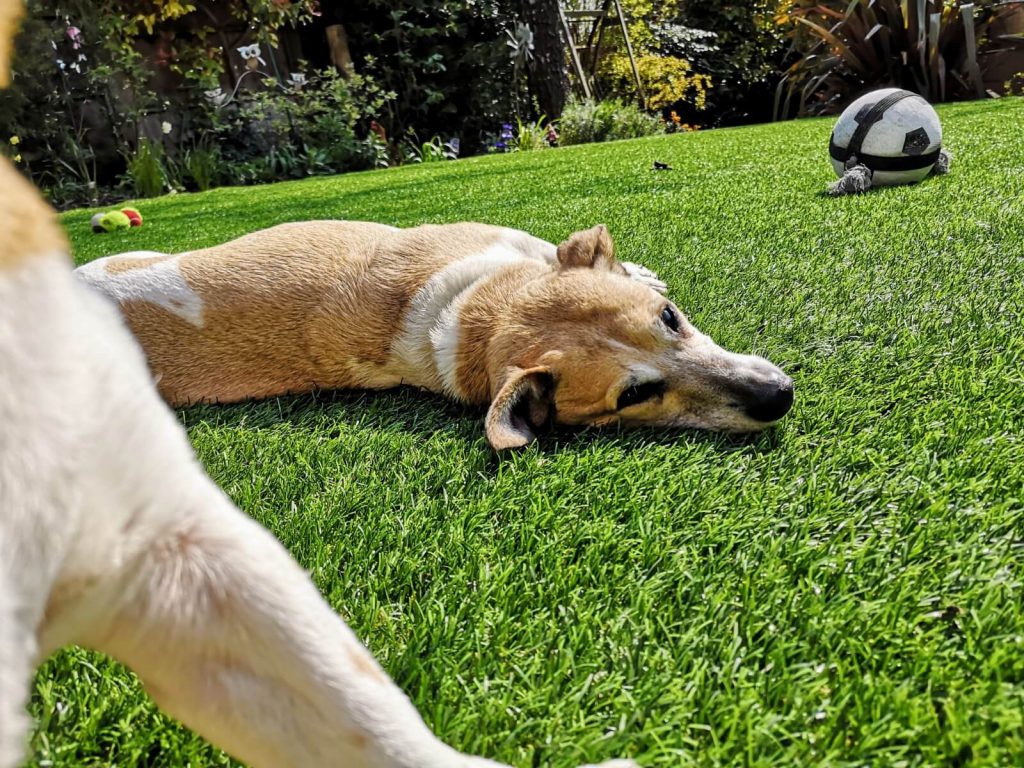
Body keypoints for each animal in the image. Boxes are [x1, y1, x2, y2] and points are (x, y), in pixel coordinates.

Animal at [79, 219, 794, 448]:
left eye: (671, 320)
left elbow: (560, 250)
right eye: (634, 396)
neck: (485, 307)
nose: (778, 397)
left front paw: (636, 269)